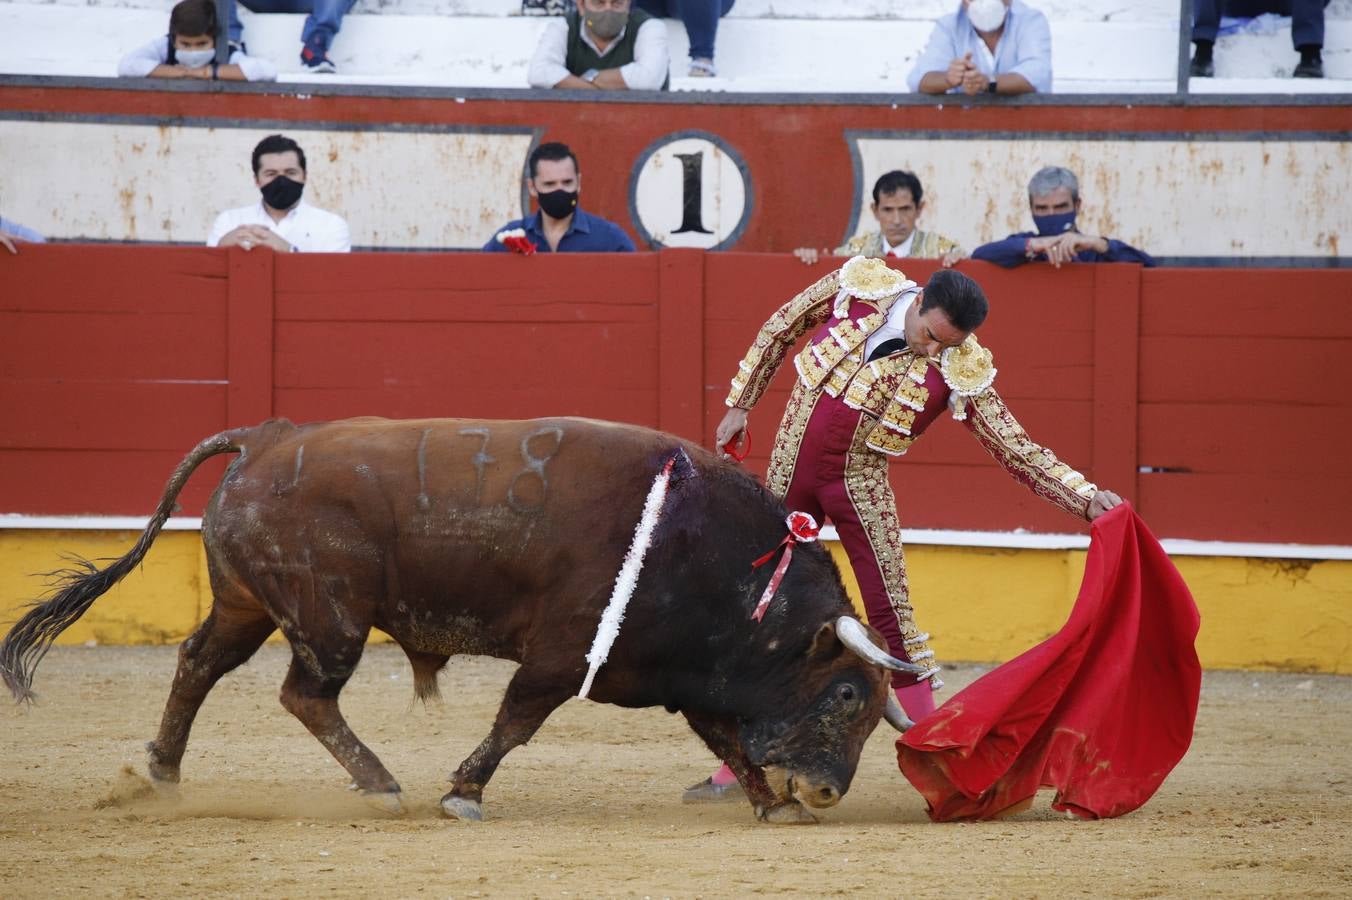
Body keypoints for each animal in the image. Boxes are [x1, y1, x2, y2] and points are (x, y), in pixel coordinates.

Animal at [0, 413, 919, 821]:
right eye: (846, 696)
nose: (828, 792)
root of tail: (265, 437)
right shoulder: (561, 656)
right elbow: (516, 723)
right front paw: (463, 791)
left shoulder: (687, 675)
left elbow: (726, 738)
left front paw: (769, 803)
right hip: (329, 619)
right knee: (305, 695)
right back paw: (380, 784)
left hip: (245, 604)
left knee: (197, 663)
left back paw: (160, 772)